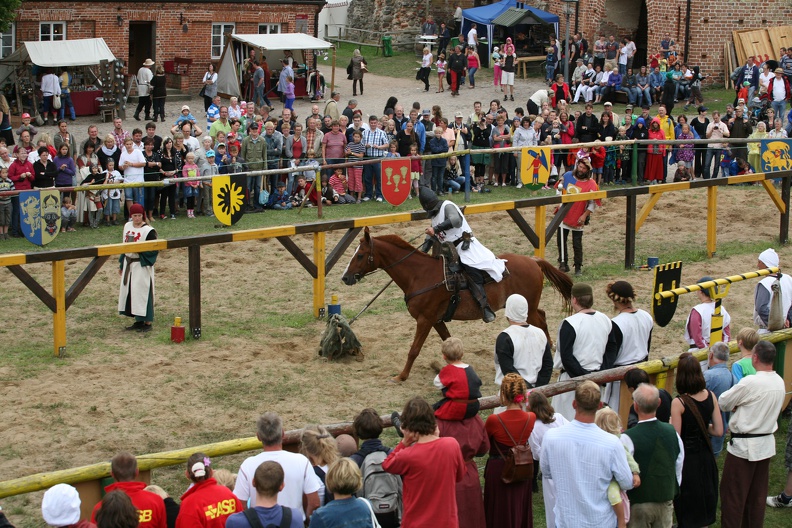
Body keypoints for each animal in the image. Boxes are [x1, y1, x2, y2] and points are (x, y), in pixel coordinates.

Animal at [338, 227, 572, 380]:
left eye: (360, 255)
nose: (345, 278)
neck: (419, 275)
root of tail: (533, 261)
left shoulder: (425, 320)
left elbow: (414, 349)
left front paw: (401, 376)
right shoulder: (436, 320)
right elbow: (448, 341)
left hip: (528, 307)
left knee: (539, 321)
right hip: (528, 306)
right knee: (542, 316)